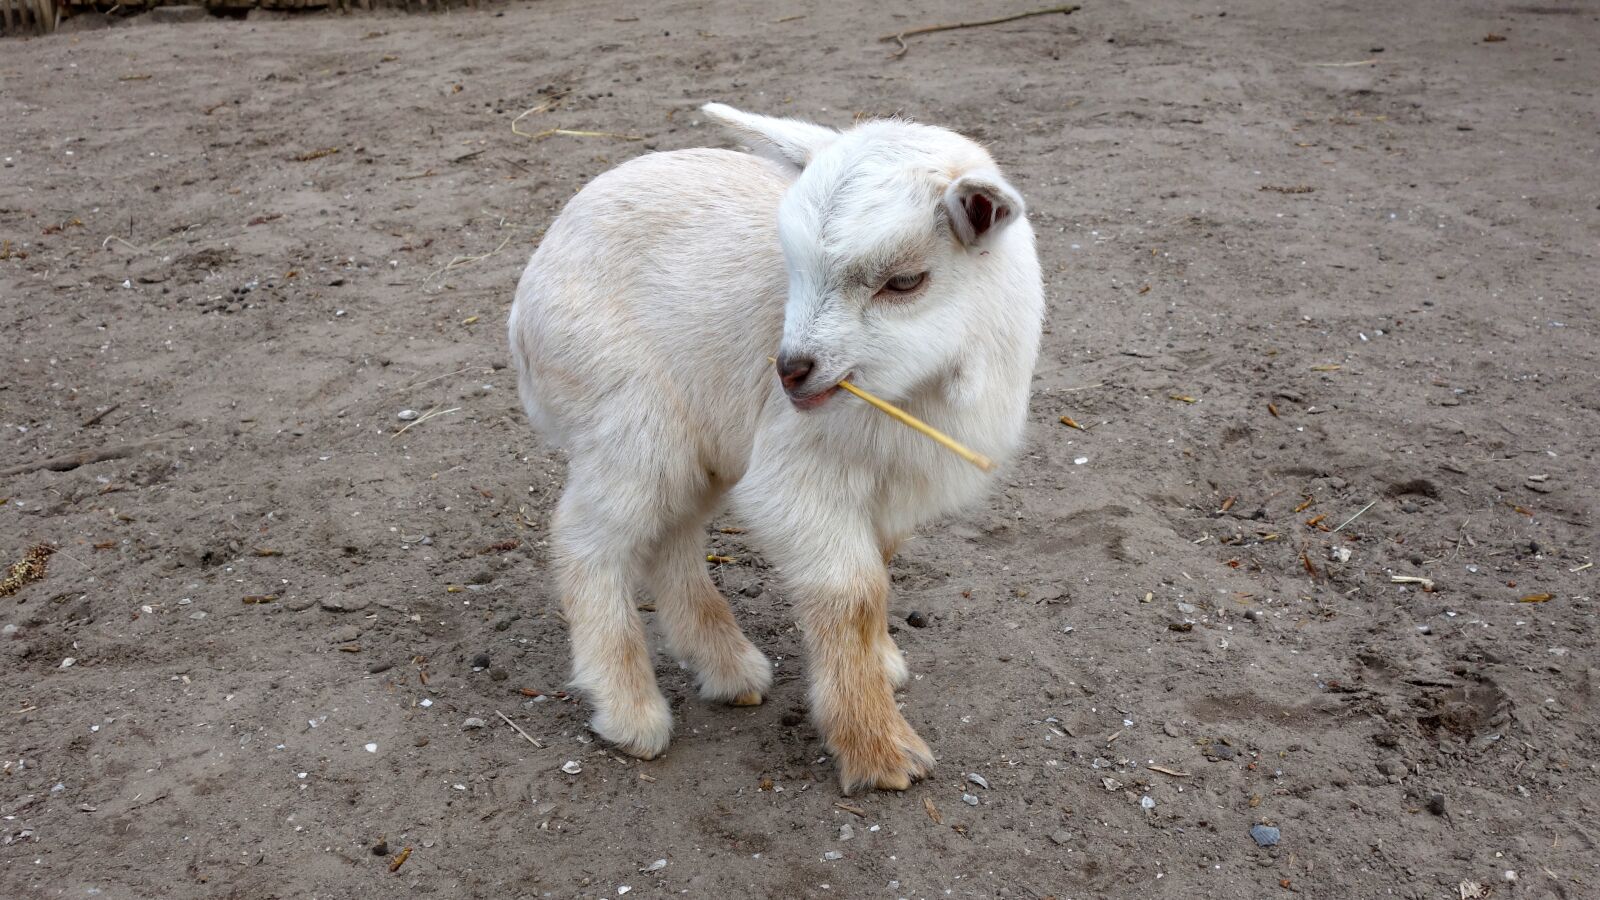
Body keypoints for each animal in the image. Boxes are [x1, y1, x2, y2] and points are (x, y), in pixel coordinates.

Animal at [507, 103, 1043, 792]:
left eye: (904, 282)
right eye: (791, 267)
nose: (789, 371)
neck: (917, 393)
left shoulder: (893, 487)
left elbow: (880, 570)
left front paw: (882, 664)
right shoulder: (797, 474)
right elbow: (852, 592)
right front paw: (880, 750)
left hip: (694, 435)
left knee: (671, 535)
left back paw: (728, 668)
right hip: (627, 414)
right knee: (587, 539)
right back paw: (631, 711)